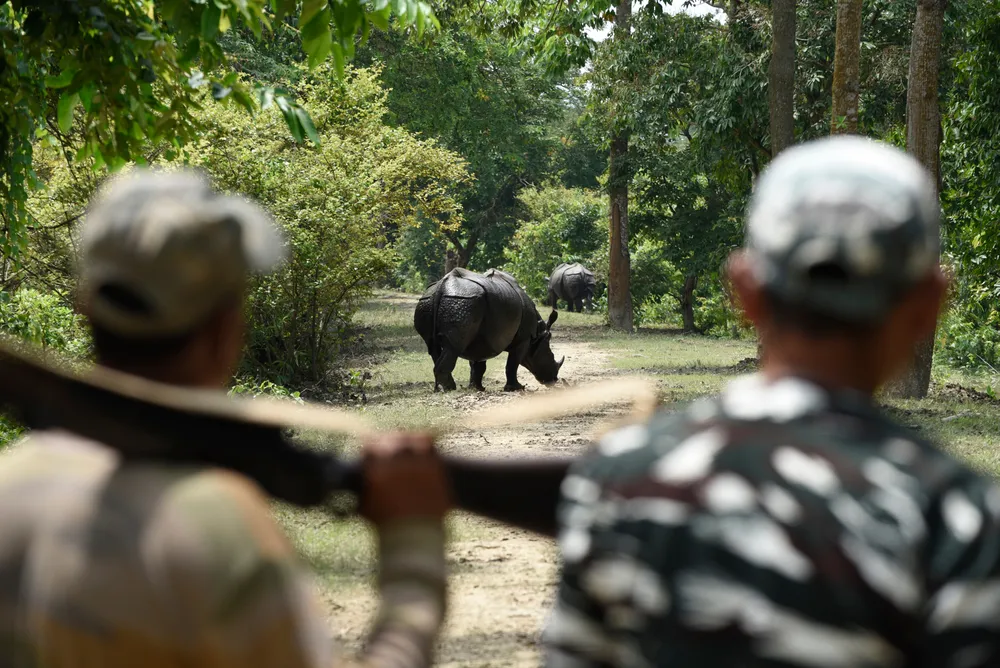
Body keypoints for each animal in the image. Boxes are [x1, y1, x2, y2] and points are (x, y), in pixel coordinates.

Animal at [414, 267, 564, 392]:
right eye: (549, 354)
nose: (554, 378)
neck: (537, 334)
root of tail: (442, 285)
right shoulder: (524, 338)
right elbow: (513, 363)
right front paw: (516, 388)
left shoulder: (481, 338)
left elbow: (478, 365)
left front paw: (477, 388)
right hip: (461, 301)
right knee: (453, 347)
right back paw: (447, 389)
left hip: (431, 301)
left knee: (433, 346)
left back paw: (443, 388)